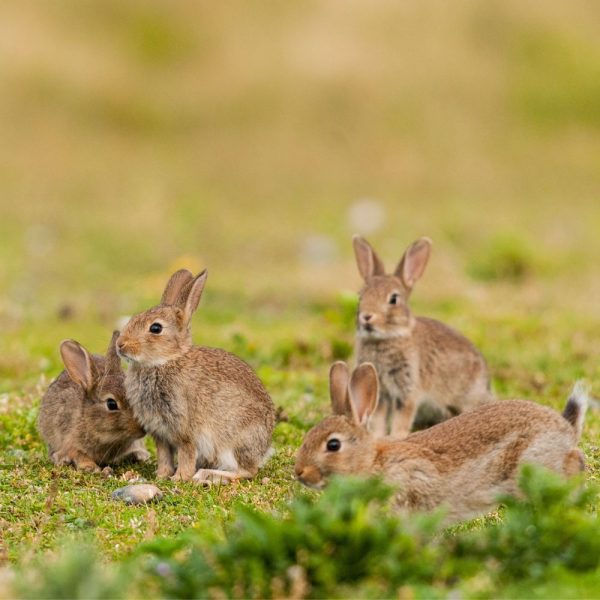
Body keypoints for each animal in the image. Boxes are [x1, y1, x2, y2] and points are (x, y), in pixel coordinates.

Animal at [116, 270, 276, 486]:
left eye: (156, 328)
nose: (120, 344)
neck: (165, 361)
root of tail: (264, 449)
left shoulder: (185, 430)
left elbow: (186, 454)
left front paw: (179, 478)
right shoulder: (160, 434)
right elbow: (164, 456)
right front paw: (161, 476)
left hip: (234, 442)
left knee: (247, 471)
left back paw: (206, 476)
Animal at [352, 234, 492, 436]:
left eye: (393, 299)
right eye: (360, 296)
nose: (367, 316)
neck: (387, 337)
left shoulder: (408, 390)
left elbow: (402, 419)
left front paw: (396, 437)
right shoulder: (382, 393)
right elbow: (378, 419)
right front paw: (378, 436)